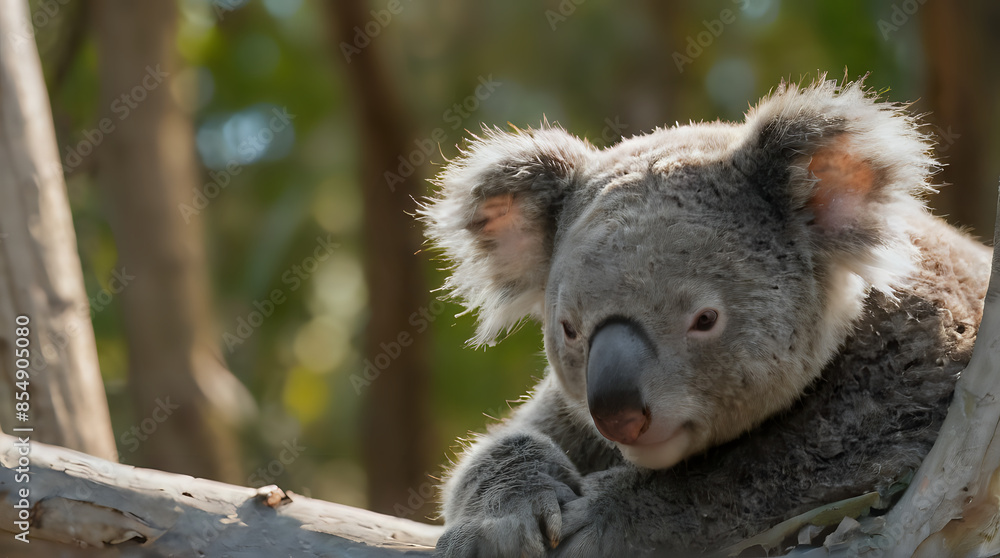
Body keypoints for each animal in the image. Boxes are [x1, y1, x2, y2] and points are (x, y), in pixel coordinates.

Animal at [420, 76, 991, 557]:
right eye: (570, 330)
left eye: (705, 319)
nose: (617, 414)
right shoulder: (567, 418)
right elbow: (498, 448)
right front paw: (495, 525)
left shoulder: (916, 378)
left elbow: (773, 466)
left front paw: (605, 518)